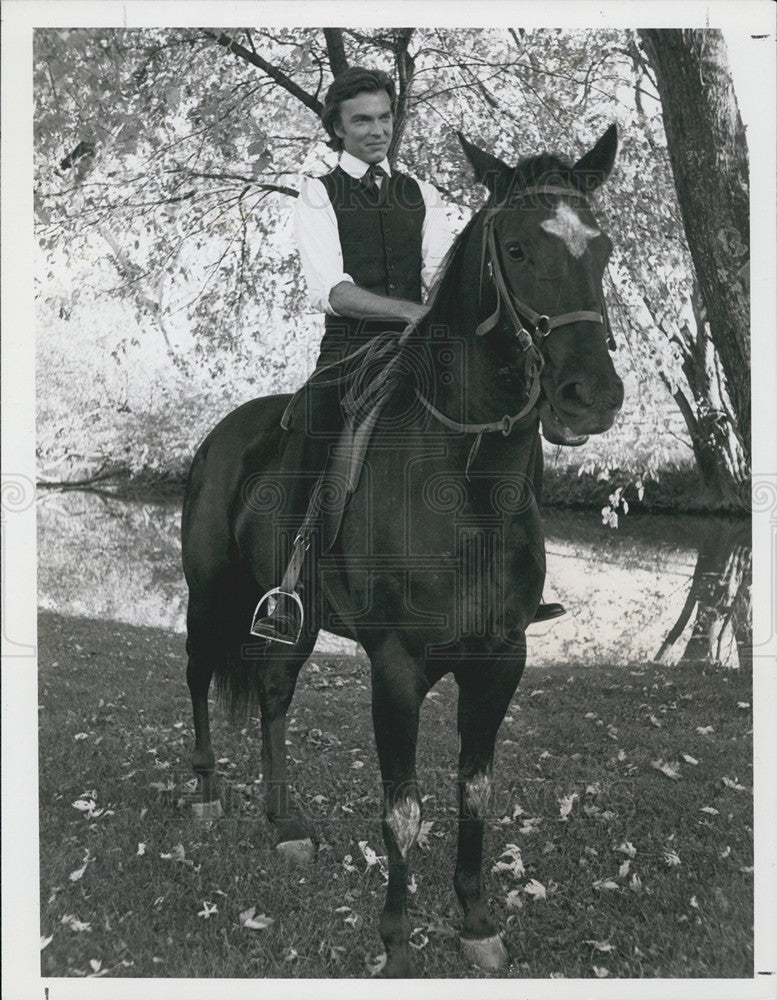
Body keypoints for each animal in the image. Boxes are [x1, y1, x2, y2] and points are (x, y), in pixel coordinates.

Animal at [180, 125, 624, 976]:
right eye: (515, 248)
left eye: (604, 246)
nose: (590, 397)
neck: (468, 487)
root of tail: (221, 434)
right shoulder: (395, 666)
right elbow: (402, 808)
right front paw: (393, 935)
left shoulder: (500, 658)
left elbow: (474, 792)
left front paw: (476, 920)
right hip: (207, 596)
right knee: (195, 678)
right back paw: (209, 793)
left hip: (292, 619)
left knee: (274, 695)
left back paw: (282, 822)